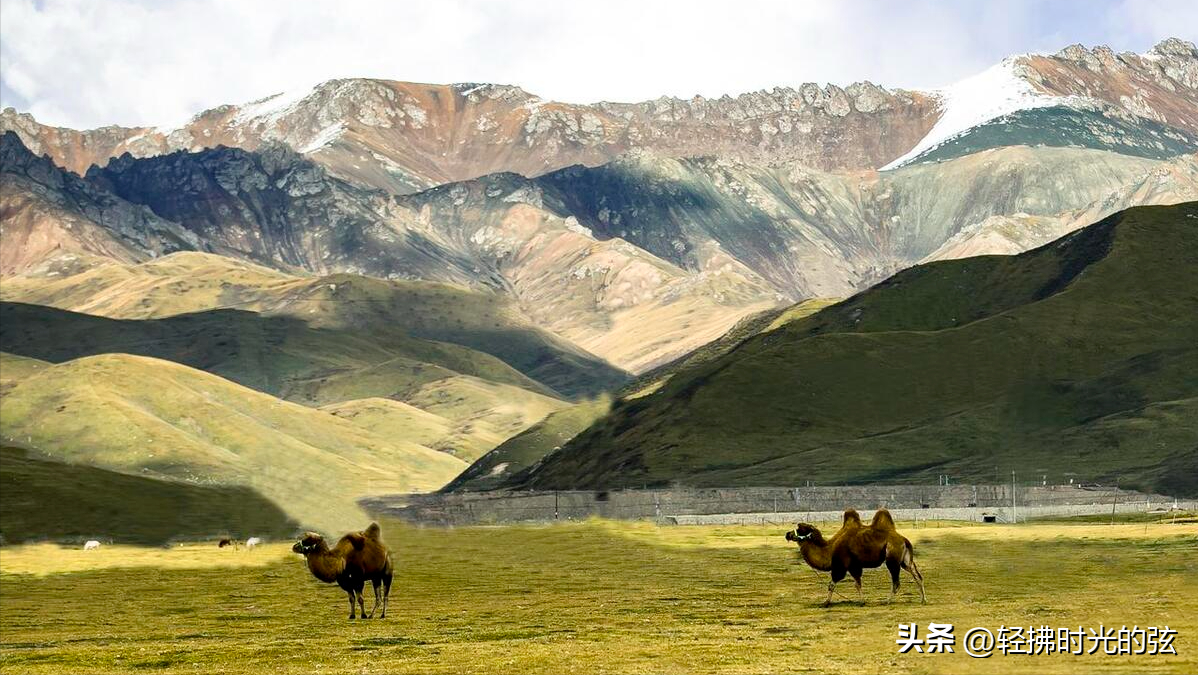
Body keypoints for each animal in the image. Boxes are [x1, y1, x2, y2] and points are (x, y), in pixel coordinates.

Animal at [785, 510, 924, 609]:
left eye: (800, 529)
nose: (787, 534)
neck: (830, 549)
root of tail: (904, 540)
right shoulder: (854, 566)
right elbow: (858, 583)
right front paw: (862, 601)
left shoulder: (841, 565)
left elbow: (832, 584)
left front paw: (825, 603)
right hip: (905, 561)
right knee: (916, 575)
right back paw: (923, 599)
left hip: (892, 558)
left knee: (896, 582)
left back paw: (887, 601)